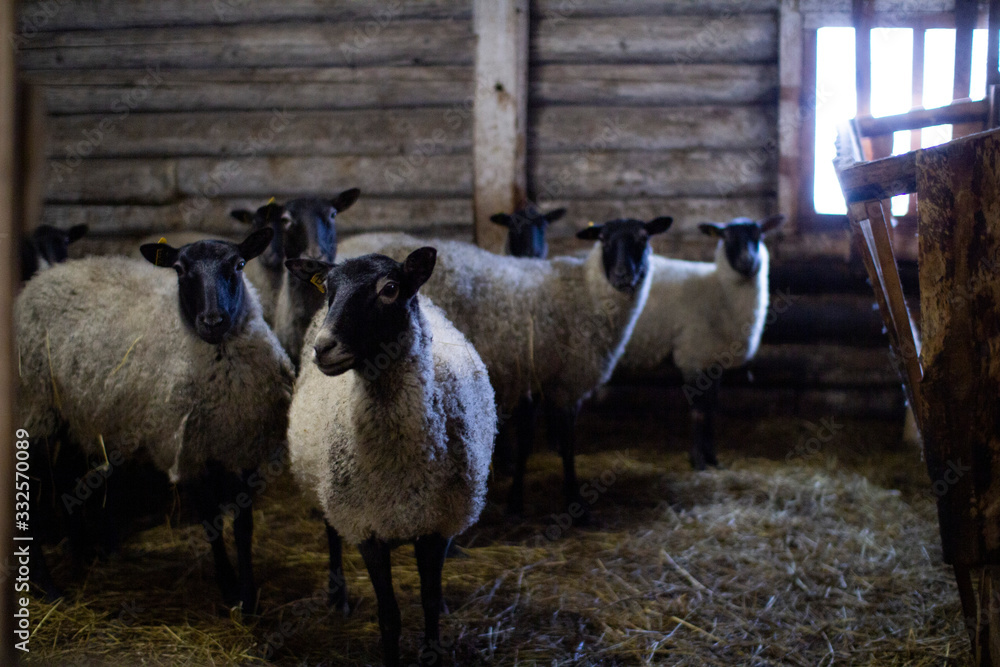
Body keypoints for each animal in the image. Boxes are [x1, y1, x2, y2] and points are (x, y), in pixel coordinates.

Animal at [16, 228, 295, 611]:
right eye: (179, 270)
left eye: (238, 265)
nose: (212, 321)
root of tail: (43, 277)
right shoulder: (189, 451)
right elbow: (210, 521)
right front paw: (227, 588)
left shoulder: (241, 444)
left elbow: (243, 526)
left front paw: (248, 598)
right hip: (37, 406)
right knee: (34, 489)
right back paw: (49, 586)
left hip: (78, 411)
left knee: (66, 476)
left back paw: (81, 555)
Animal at [285, 248, 496, 667]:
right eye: (328, 289)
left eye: (390, 289)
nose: (323, 347)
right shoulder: (368, 528)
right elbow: (389, 617)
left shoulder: (436, 524)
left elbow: (428, 601)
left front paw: (434, 637)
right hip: (327, 489)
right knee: (331, 533)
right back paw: (337, 597)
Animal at [336, 216, 672, 524]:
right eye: (604, 239)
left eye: (643, 238)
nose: (623, 276)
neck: (586, 291)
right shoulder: (563, 383)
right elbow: (564, 446)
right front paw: (572, 502)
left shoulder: (534, 381)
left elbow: (528, 443)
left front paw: (517, 498)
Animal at [616, 215, 785, 469]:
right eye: (726, 237)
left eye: (758, 235)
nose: (748, 262)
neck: (719, 291)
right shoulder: (692, 357)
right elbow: (698, 412)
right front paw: (697, 461)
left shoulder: (713, 361)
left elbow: (711, 410)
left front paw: (712, 458)